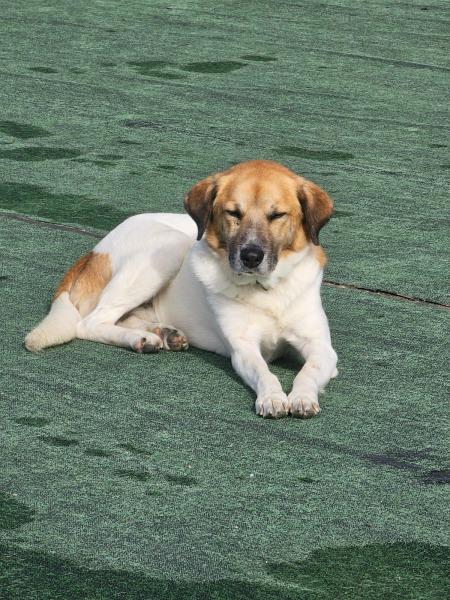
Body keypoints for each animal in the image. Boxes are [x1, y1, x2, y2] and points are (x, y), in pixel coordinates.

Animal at [25, 160, 338, 418]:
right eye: (233, 213)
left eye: (277, 215)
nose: (251, 256)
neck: (266, 291)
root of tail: (93, 251)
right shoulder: (243, 349)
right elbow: (264, 372)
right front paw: (272, 397)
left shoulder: (322, 348)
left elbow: (308, 371)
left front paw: (302, 397)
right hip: (169, 246)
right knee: (90, 323)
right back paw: (140, 338)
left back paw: (160, 334)